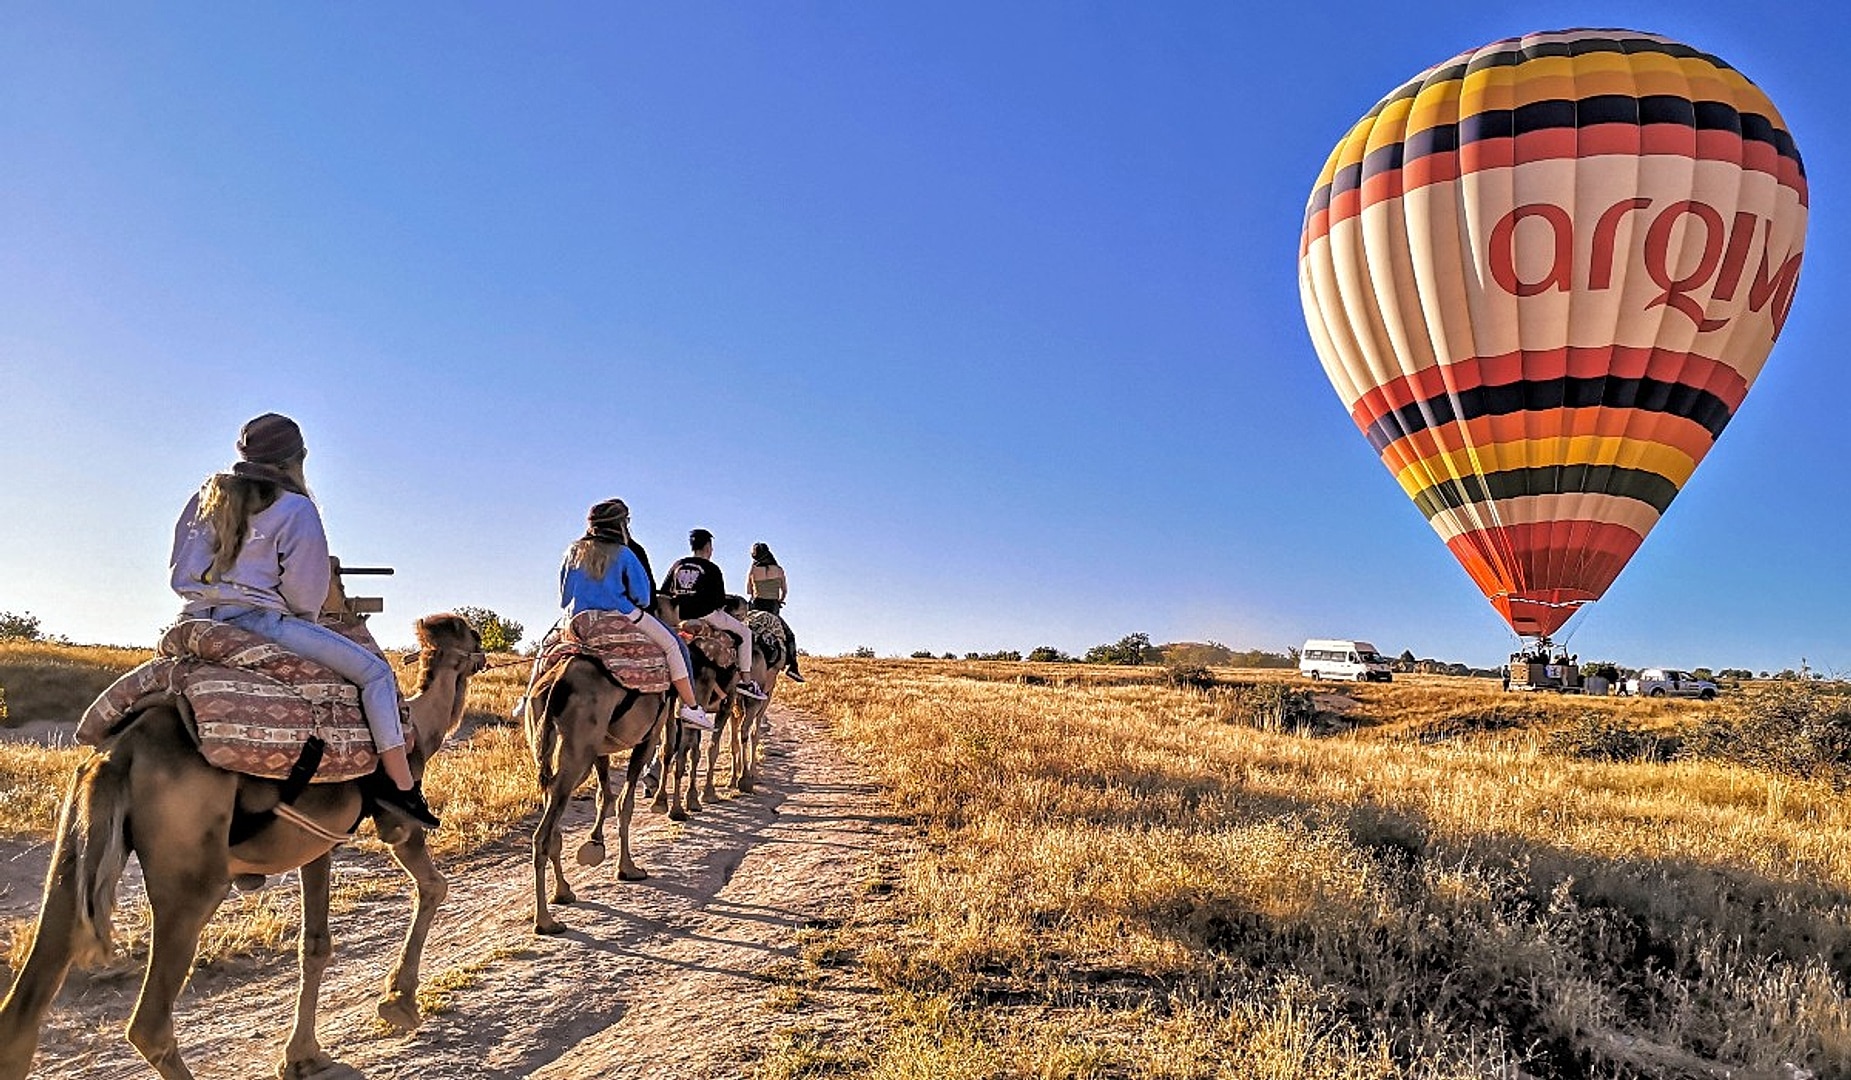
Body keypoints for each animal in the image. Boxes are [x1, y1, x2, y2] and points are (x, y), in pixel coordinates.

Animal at [0, 612, 484, 1080]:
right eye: (473, 637)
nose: (483, 655)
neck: (420, 725)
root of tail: (119, 753)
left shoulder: (316, 841)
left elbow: (315, 945)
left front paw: (302, 1057)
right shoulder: (397, 821)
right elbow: (433, 885)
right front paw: (399, 1002)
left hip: (76, 849)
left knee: (22, 1014)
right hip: (193, 878)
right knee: (149, 1024)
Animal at [526, 608, 734, 936]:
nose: (715, 698)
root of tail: (556, 682)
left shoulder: (601, 750)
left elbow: (605, 796)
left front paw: (595, 844)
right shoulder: (646, 739)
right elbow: (626, 802)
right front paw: (628, 868)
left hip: (553, 751)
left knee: (554, 822)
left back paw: (564, 892)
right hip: (577, 754)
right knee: (543, 834)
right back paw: (545, 920)